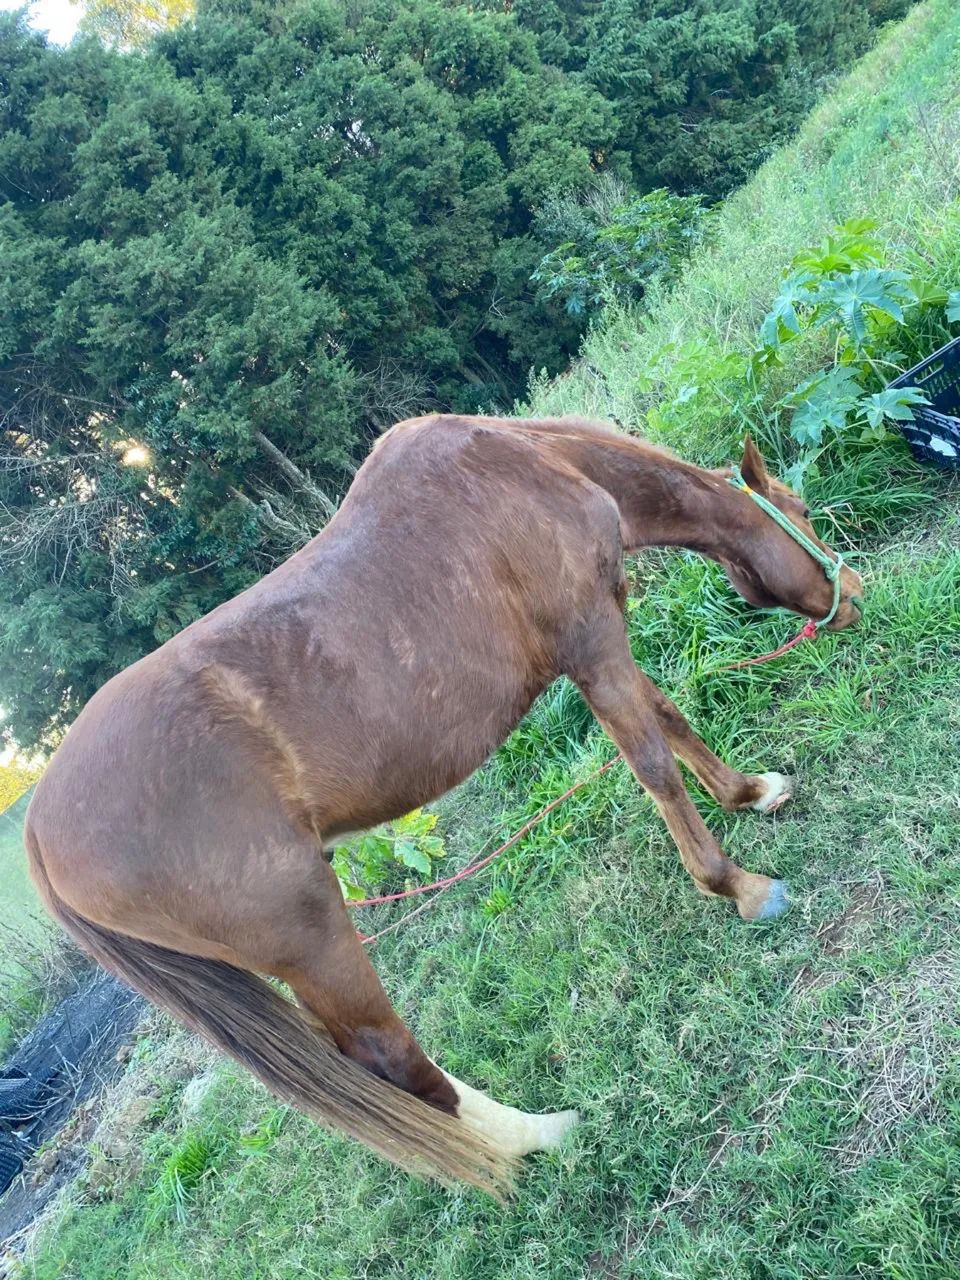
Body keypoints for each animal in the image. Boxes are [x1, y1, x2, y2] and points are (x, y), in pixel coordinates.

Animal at [25, 416, 863, 1197]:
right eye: (801, 510)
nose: (852, 594)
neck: (529, 466)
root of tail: (37, 829)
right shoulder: (590, 636)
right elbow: (653, 761)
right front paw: (739, 885)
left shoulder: (596, 644)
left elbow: (668, 715)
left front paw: (750, 792)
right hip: (314, 934)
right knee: (389, 1055)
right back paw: (538, 1138)